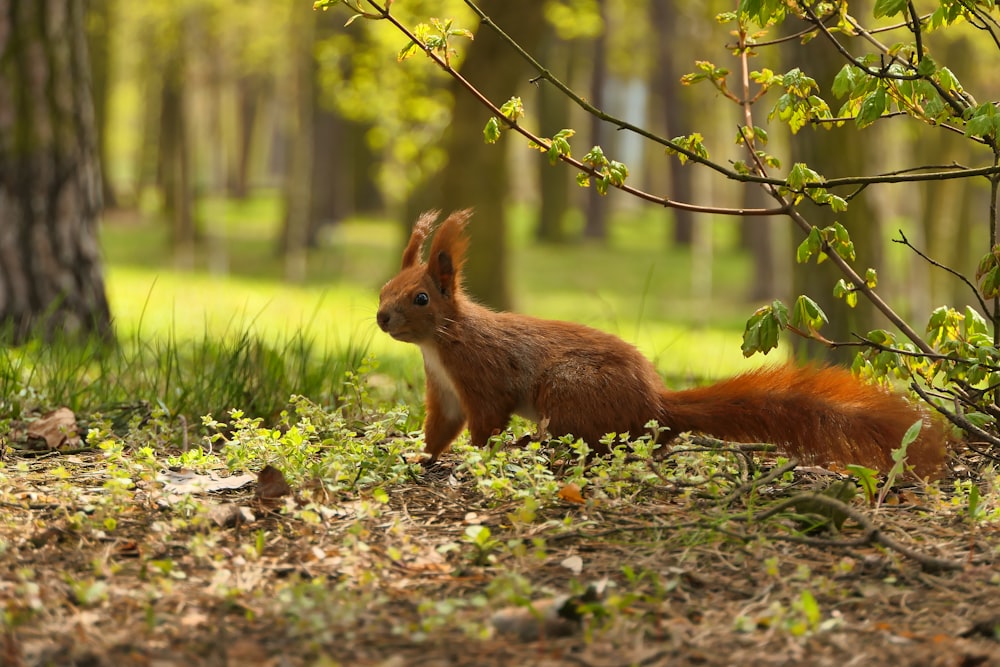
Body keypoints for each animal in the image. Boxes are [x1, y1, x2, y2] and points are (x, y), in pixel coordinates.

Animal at [376, 211, 944, 478]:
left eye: (420, 297)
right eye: (384, 288)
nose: (381, 317)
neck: (442, 344)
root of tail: (655, 406)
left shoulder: (484, 378)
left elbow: (485, 425)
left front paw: (474, 458)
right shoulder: (444, 392)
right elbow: (439, 429)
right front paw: (421, 456)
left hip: (569, 389)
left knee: (589, 444)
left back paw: (535, 447)